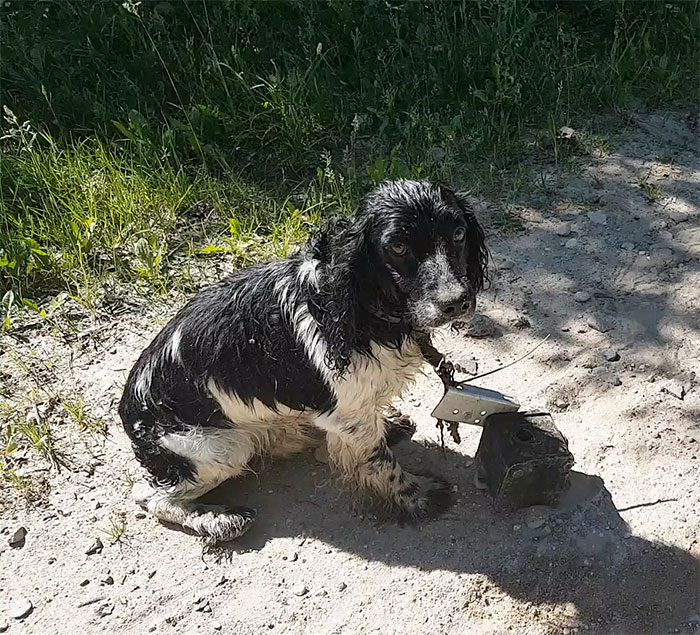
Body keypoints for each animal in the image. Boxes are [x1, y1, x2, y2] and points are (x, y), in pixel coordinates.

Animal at [119, 179, 486, 540]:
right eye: (398, 247)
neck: (364, 307)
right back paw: (219, 520)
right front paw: (417, 496)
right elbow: (380, 461)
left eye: (458, 233)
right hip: (221, 448)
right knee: (150, 496)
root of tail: (128, 410)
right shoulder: (350, 412)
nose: (457, 301)